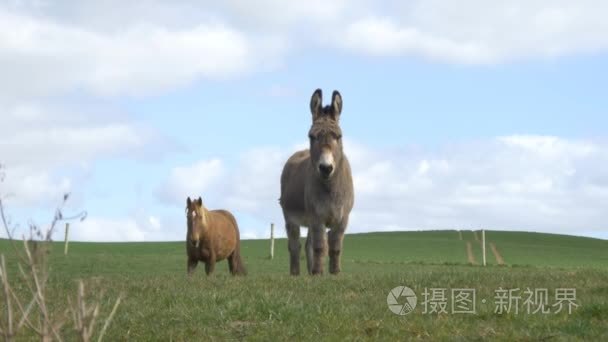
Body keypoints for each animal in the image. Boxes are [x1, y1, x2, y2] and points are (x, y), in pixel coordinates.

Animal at [280, 89, 356, 276]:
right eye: (311, 136)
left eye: (339, 136)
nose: (326, 168)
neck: (330, 187)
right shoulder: (317, 217)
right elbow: (320, 247)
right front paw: (319, 274)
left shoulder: (342, 219)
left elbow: (335, 248)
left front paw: (334, 273)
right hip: (291, 218)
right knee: (295, 245)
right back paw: (296, 274)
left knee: (308, 245)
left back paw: (310, 271)